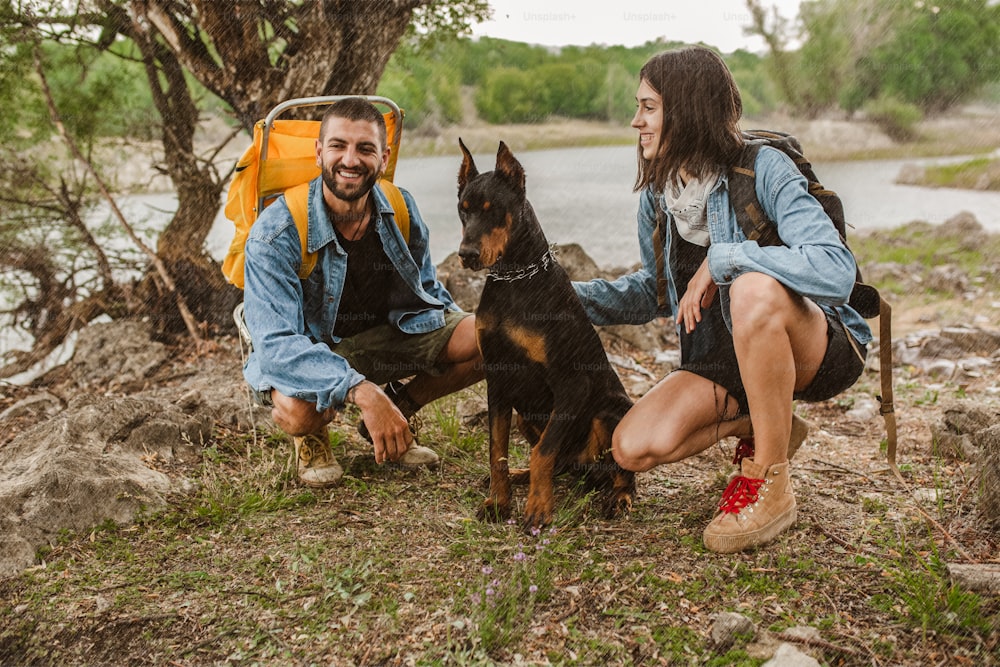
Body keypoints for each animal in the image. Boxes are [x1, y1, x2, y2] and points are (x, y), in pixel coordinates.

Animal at [458, 138, 636, 528]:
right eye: (463, 209)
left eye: (494, 210)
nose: (466, 254)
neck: (514, 280)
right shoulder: (498, 379)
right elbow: (497, 449)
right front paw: (498, 502)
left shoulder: (571, 384)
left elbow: (544, 450)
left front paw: (539, 508)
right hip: (526, 417)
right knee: (559, 464)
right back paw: (521, 476)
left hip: (612, 413)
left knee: (620, 470)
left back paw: (620, 496)